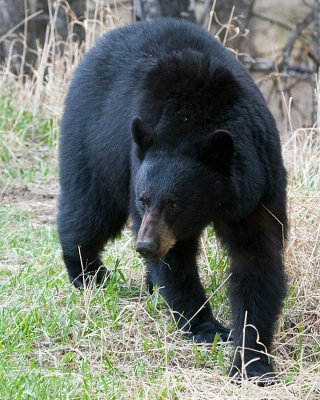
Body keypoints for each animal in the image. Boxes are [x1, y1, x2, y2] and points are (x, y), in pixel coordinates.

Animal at [57, 18, 288, 382]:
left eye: (175, 203)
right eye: (143, 199)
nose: (145, 246)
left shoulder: (259, 182)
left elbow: (257, 260)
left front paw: (253, 363)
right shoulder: (137, 171)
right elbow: (176, 263)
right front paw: (206, 327)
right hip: (91, 143)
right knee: (88, 211)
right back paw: (89, 274)